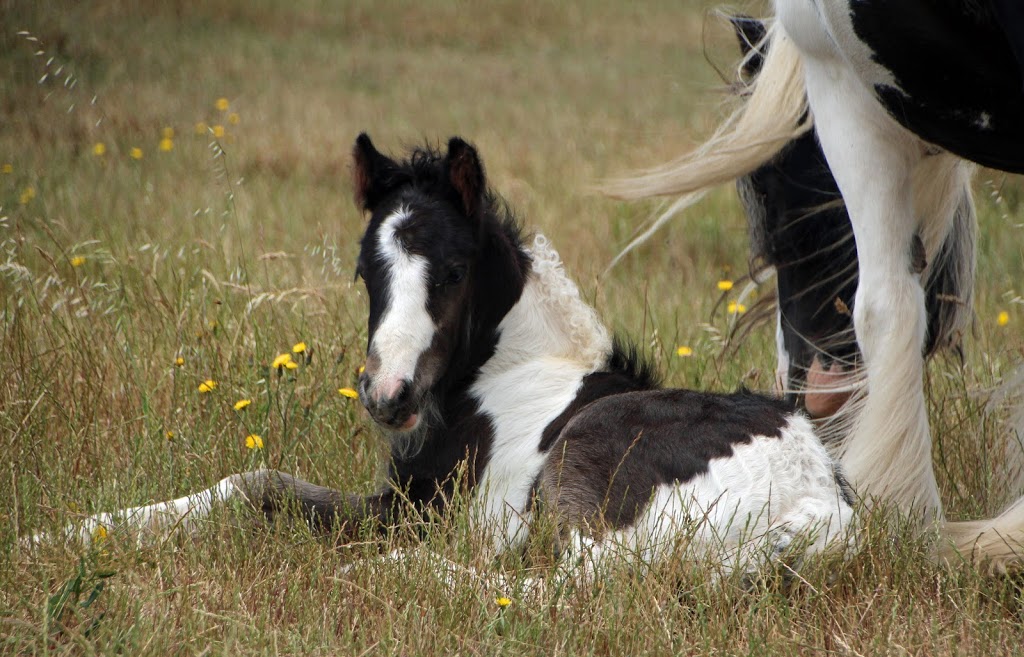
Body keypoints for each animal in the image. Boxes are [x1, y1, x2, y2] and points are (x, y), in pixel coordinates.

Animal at [36, 135, 856, 577]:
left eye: (455, 271)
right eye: (363, 270)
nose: (387, 395)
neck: (512, 371)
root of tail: (816, 497)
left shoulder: (410, 508)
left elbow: (266, 488)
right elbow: (252, 480)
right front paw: (70, 532)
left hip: (584, 464)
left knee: (575, 584)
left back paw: (397, 573)